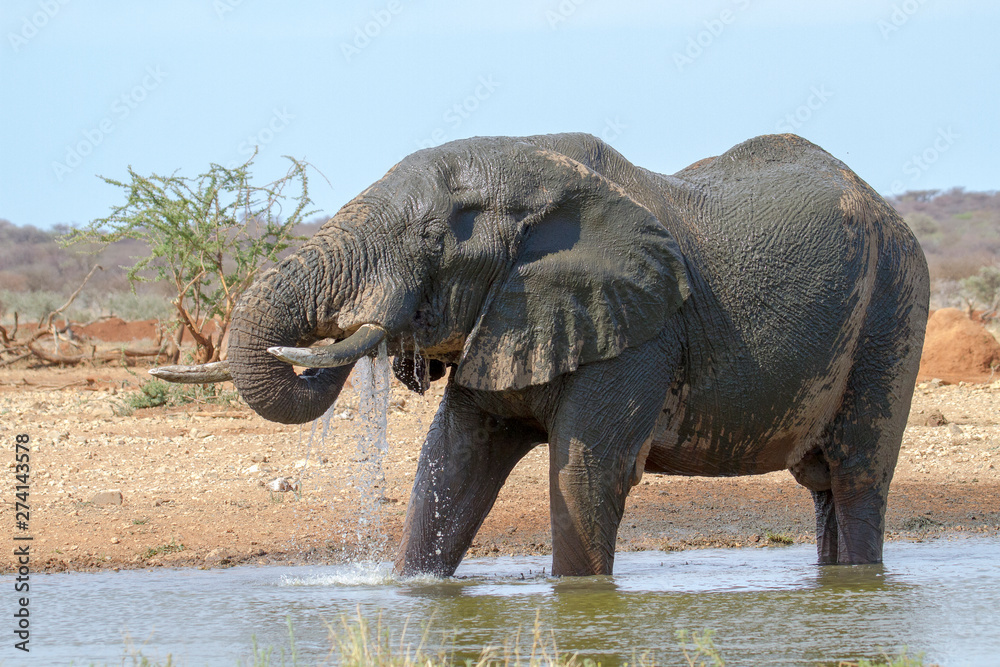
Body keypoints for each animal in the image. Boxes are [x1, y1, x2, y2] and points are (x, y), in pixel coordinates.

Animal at [152, 132, 929, 577]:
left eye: (431, 238)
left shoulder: (643, 331)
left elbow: (585, 474)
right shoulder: (501, 320)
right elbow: (449, 467)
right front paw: (413, 589)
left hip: (895, 305)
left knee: (856, 477)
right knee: (823, 485)